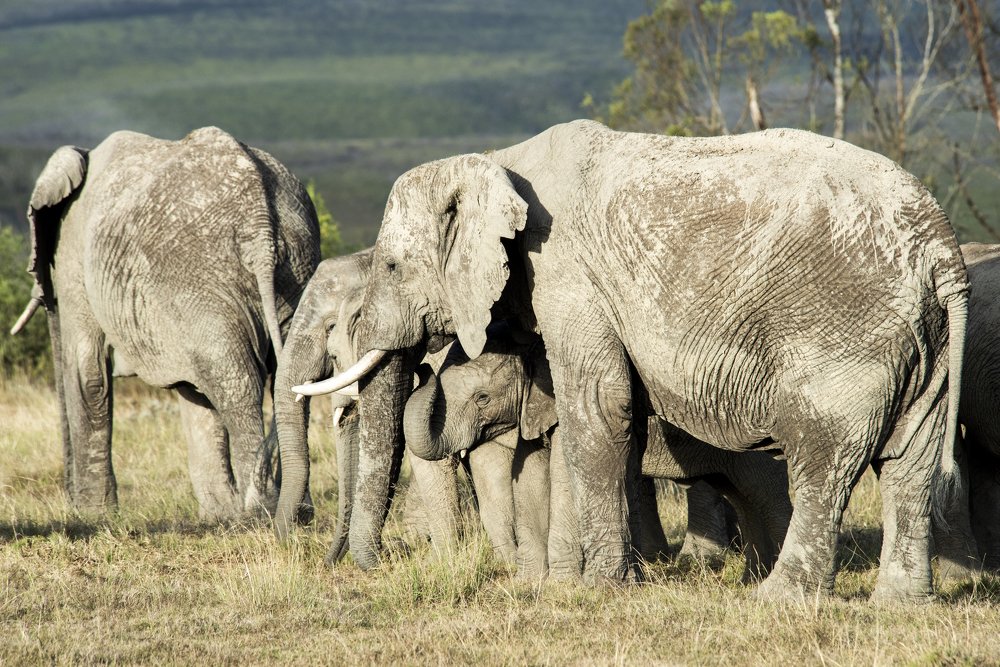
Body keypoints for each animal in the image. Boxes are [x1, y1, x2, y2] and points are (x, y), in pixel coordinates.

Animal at [12, 127, 320, 519]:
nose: (68, 500)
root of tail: (260, 227)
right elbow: (193, 393)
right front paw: (219, 518)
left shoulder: (75, 251)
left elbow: (88, 373)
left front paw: (94, 516)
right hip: (293, 266)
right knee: (282, 374)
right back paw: (293, 510)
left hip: (201, 277)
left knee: (236, 381)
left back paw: (260, 511)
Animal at [402, 328, 792, 581]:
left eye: (482, 398)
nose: (421, 367)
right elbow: (525, 476)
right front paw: (529, 583)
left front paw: (560, 583)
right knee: (743, 496)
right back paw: (752, 578)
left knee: (768, 492)